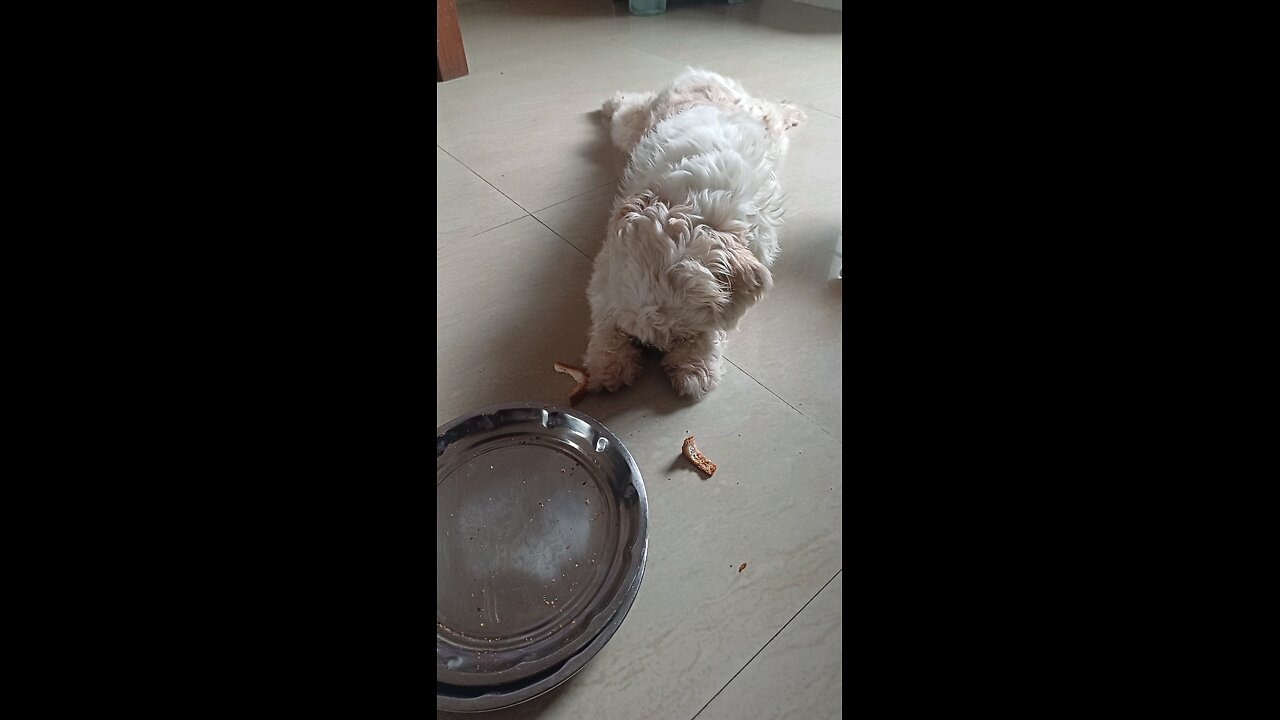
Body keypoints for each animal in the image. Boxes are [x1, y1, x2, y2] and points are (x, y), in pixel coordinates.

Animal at [586, 68, 803, 397]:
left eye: (683, 335)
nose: (650, 348)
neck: (694, 208)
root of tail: (702, 74)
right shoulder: (608, 263)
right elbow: (605, 315)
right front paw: (609, 363)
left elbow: (717, 327)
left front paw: (695, 367)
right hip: (630, 126)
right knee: (629, 105)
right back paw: (611, 102)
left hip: (771, 132)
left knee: (772, 110)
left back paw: (792, 111)